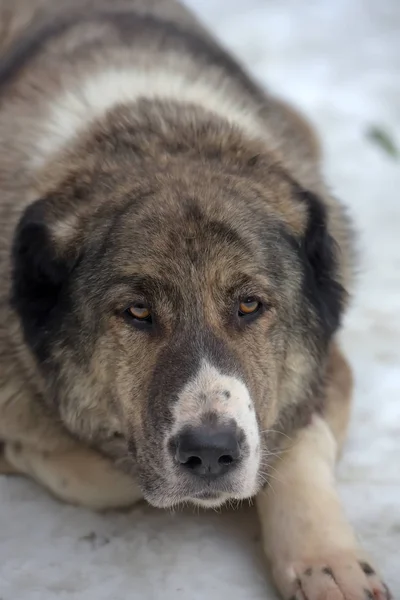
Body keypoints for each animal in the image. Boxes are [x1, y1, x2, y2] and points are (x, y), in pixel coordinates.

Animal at [0, 1, 392, 600]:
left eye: (250, 305)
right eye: (137, 312)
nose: (209, 451)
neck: (158, 135)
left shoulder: (330, 370)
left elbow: (299, 440)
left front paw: (328, 562)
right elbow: (102, 476)